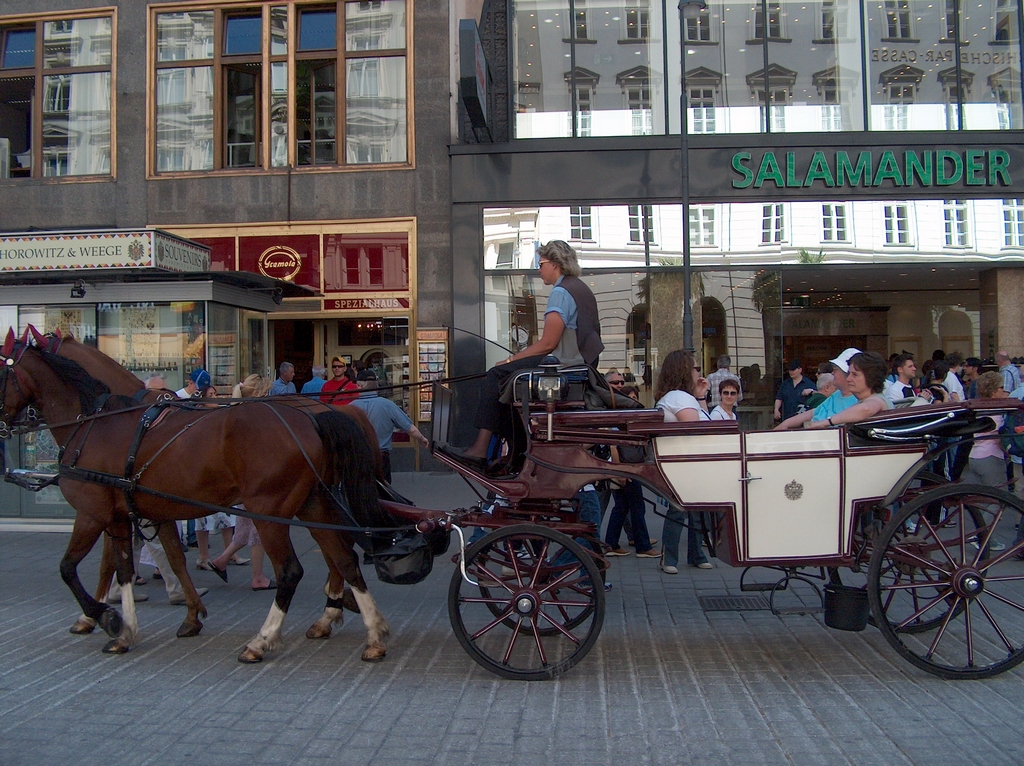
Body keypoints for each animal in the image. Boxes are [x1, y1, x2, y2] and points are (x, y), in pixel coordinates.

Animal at [1, 331, 395, 659]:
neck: (98, 422)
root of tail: (314, 418)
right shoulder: (131, 515)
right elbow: (136, 565)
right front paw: (137, 624)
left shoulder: (93, 513)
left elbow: (71, 567)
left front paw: (105, 617)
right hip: (312, 503)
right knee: (343, 558)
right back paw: (370, 630)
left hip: (270, 509)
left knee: (291, 571)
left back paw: (263, 639)